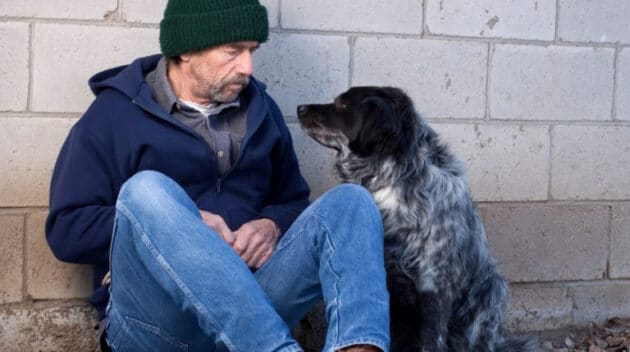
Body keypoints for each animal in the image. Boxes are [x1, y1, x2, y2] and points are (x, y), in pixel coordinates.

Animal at [298, 86, 540, 352]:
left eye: (342, 105)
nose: (300, 108)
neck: (392, 181)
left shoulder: (434, 282)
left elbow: (431, 340)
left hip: (489, 296)